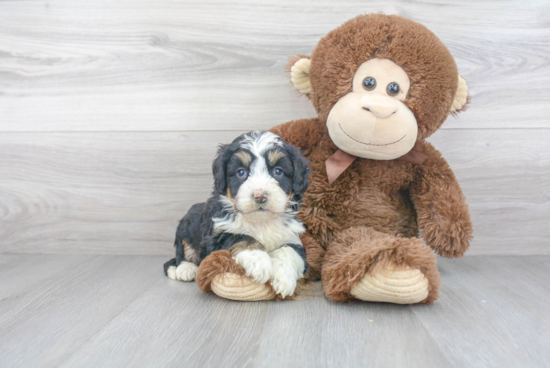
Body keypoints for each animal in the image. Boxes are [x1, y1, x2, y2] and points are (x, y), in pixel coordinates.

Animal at [163, 131, 310, 298]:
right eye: (241, 172)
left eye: (278, 171)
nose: (260, 195)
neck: (261, 221)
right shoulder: (217, 235)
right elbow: (243, 237)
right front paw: (259, 261)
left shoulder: (292, 235)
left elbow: (290, 251)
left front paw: (284, 278)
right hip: (185, 229)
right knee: (178, 257)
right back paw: (185, 269)